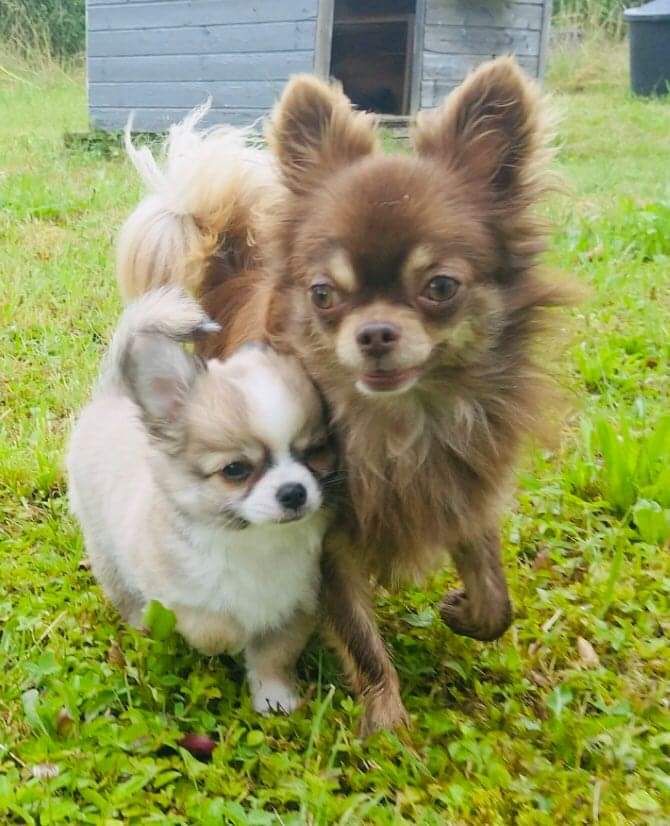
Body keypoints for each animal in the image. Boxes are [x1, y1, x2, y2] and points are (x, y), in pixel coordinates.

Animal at [68, 286, 336, 712]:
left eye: (315, 452)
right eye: (235, 470)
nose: (293, 491)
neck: (255, 542)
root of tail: (116, 392)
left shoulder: (295, 607)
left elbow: (274, 657)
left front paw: (275, 699)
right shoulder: (173, 594)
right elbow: (212, 626)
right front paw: (230, 639)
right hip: (108, 556)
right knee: (131, 603)